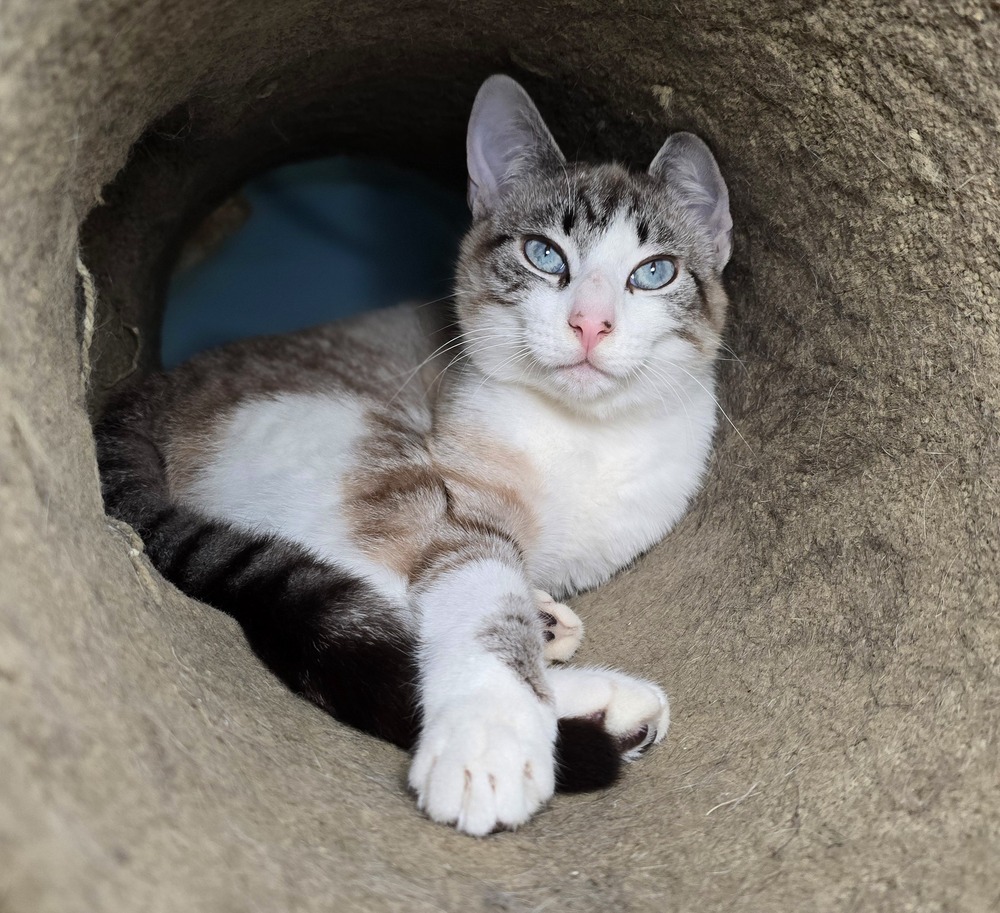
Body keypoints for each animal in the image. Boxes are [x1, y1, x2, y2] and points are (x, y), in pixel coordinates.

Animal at [94, 75, 736, 836]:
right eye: (545, 255)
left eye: (655, 272)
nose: (590, 322)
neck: (586, 437)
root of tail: (146, 391)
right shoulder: (457, 504)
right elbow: (476, 600)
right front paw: (488, 743)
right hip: (359, 442)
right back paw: (591, 689)